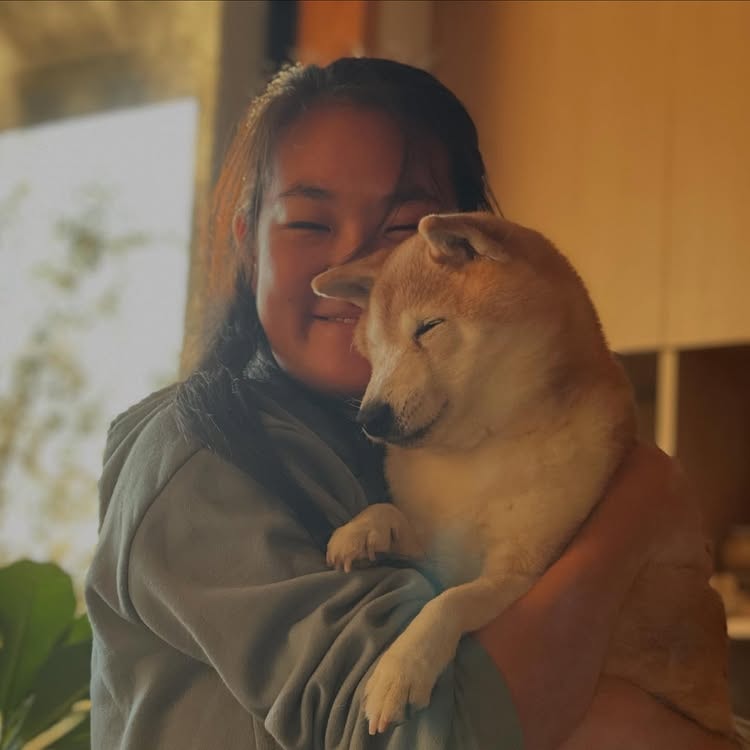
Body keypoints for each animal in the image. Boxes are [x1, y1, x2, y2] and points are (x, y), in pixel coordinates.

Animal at [310, 212, 736, 740]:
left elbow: (449, 602)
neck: (478, 455)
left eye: (429, 327)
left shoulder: (524, 573)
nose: (369, 418)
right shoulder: (442, 550)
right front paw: (364, 530)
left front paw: (401, 668)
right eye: (373, 350)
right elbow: (397, 517)